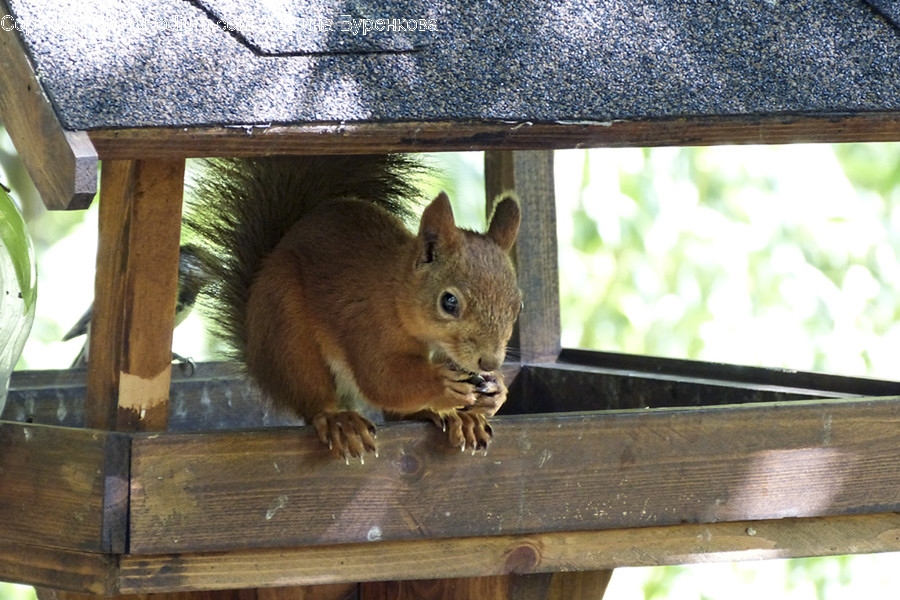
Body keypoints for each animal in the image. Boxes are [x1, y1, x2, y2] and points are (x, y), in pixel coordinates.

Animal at [186, 155, 521, 460]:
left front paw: (496, 390)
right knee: (313, 398)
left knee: (399, 414)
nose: (490, 362)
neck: (397, 294)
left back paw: (458, 418)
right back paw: (339, 421)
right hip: (286, 330)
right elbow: (383, 378)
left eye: (518, 305)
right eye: (448, 302)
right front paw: (442, 384)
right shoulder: (367, 322)